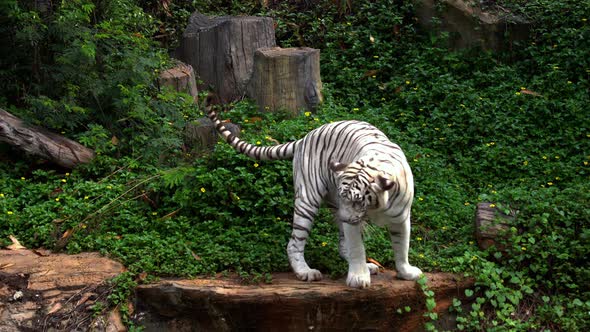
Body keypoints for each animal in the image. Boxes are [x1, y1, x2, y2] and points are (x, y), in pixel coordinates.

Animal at [207, 108, 420, 288]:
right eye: (347, 198)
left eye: (358, 201)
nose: (344, 217)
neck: (378, 206)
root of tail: (305, 137)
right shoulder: (352, 221)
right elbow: (357, 248)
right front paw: (358, 279)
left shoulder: (400, 218)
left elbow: (402, 246)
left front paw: (406, 272)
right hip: (307, 202)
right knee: (294, 244)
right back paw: (305, 272)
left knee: (342, 245)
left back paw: (367, 266)